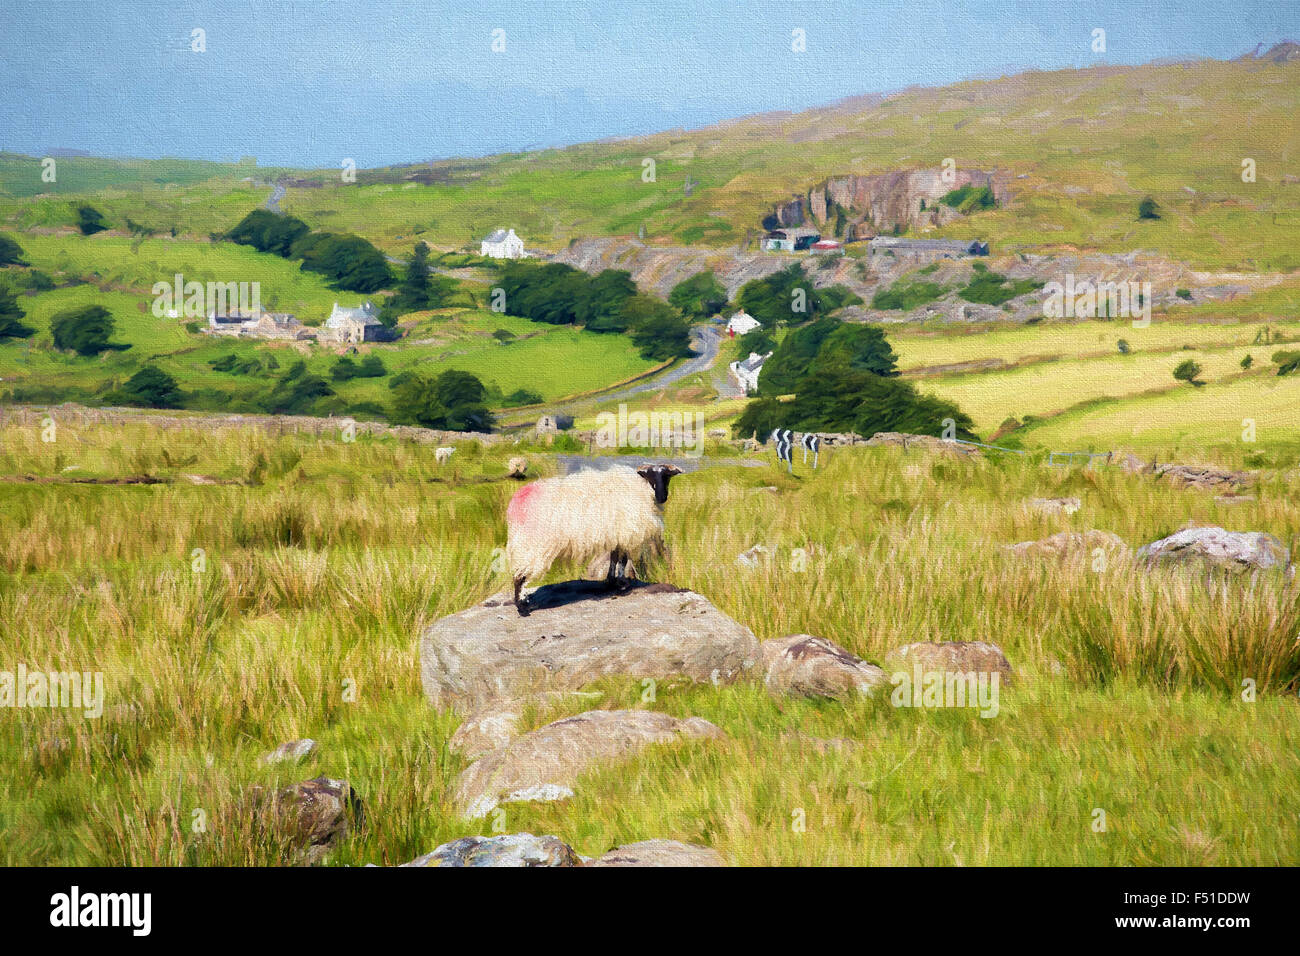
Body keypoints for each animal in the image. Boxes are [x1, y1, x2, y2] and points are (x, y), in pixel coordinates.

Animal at [505, 463, 683, 614]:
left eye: (667, 476)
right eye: (649, 476)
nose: (662, 497)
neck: (640, 488)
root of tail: (519, 500)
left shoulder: (616, 534)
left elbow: (614, 558)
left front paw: (612, 581)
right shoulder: (626, 532)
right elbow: (622, 559)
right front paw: (622, 583)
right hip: (533, 545)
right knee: (519, 576)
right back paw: (522, 608)